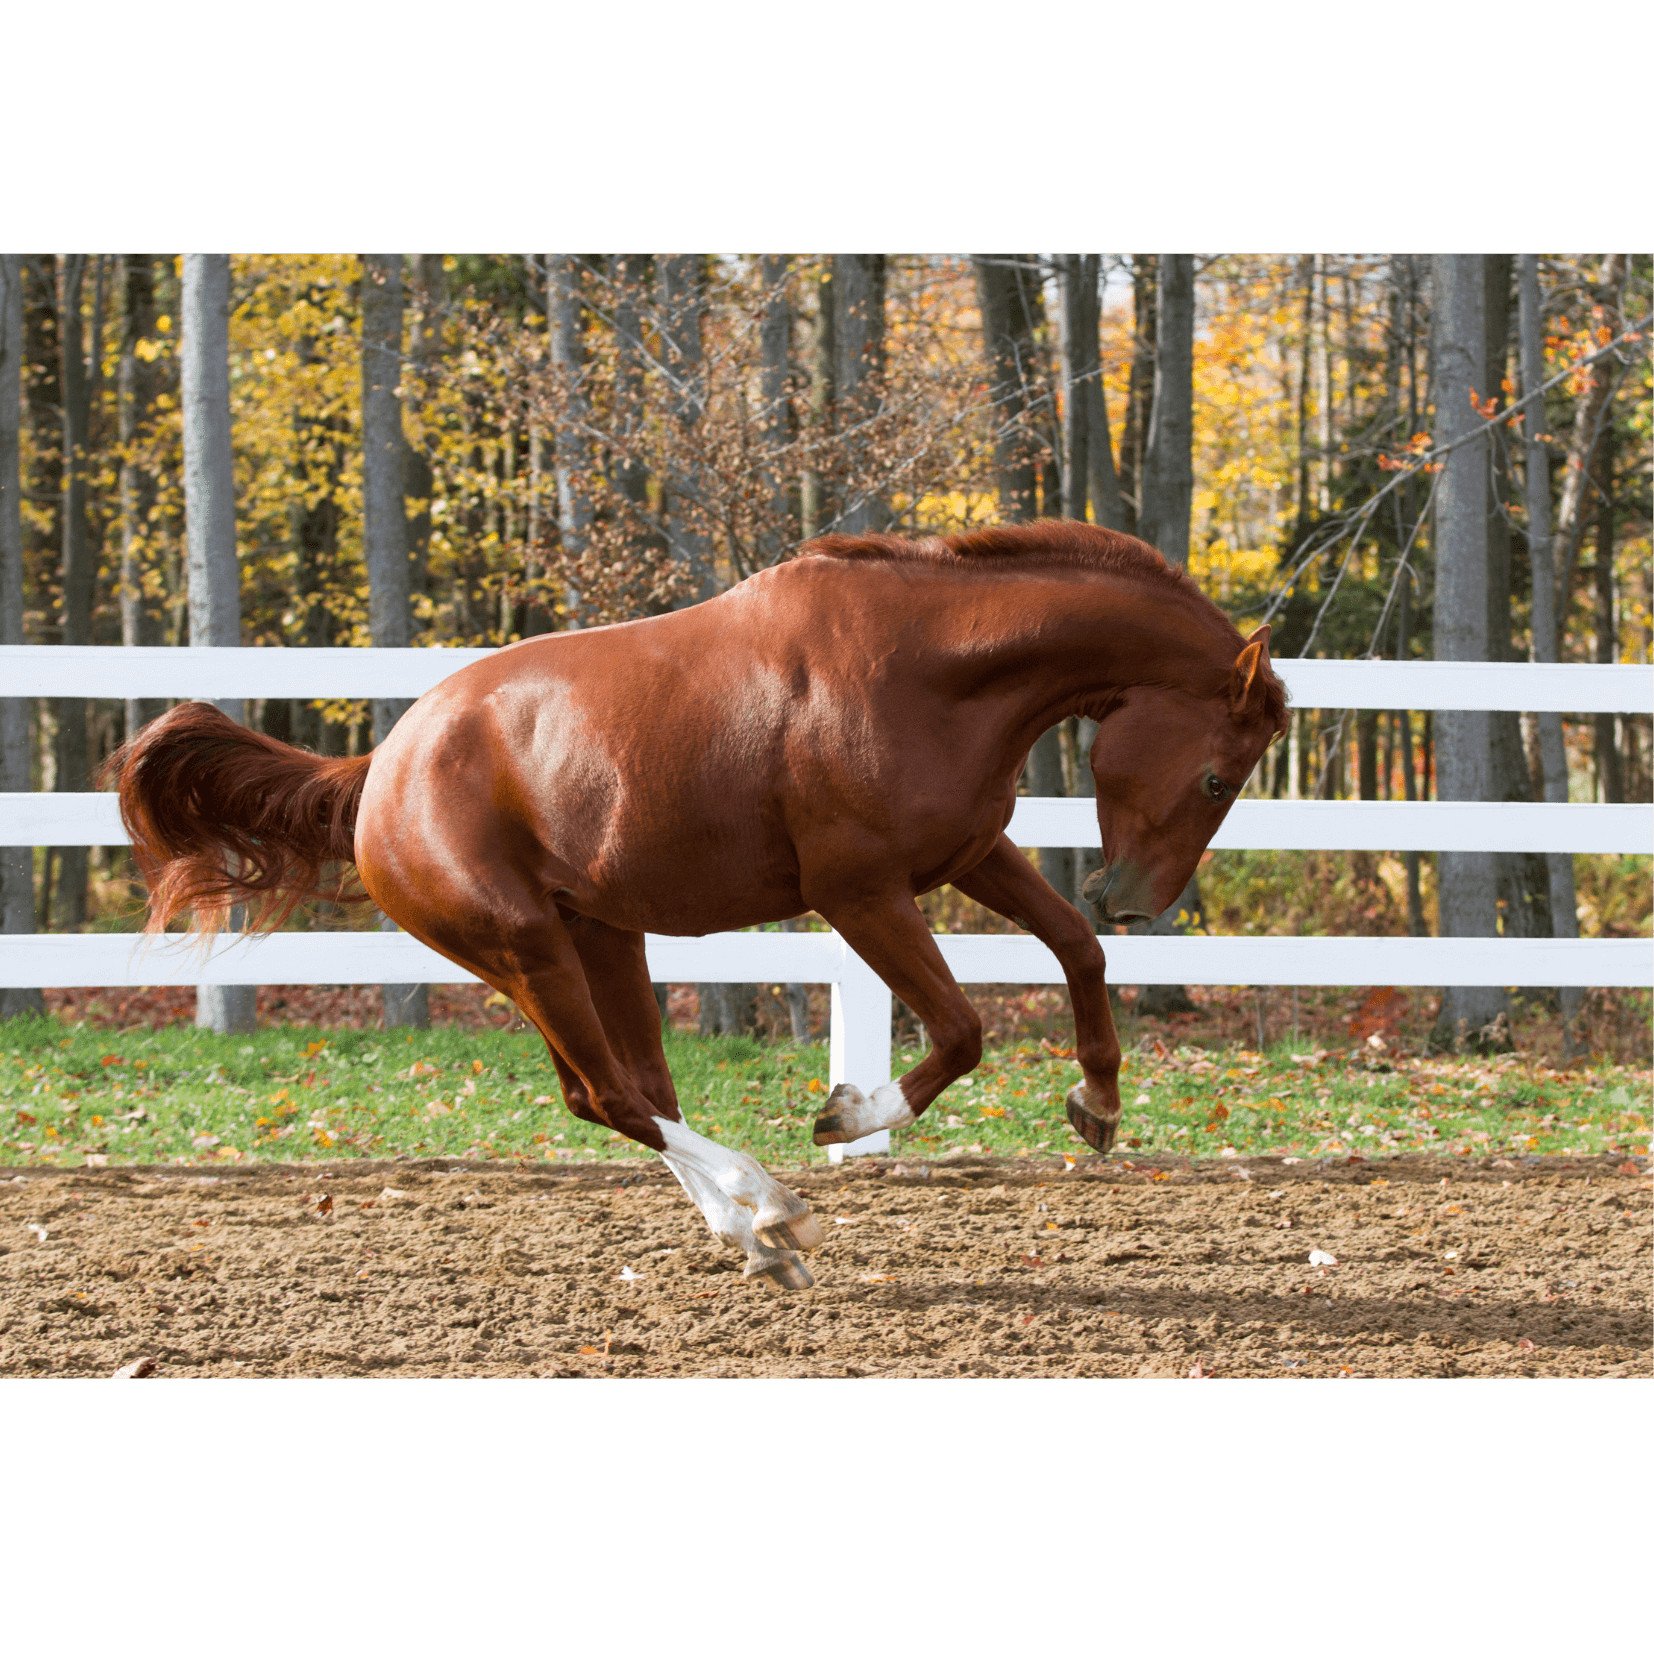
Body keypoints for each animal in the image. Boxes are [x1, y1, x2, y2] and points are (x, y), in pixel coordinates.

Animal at [112, 521, 1288, 1290]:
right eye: (1218, 778)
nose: (1135, 897)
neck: (932, 669)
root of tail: (378, 771)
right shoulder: (860, 893)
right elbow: (961, 1030)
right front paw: (847, 1114)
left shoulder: (970, 852)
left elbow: (1075, 949)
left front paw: (1097, 1104)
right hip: (523, 951)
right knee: (608, 1097)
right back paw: (771, 1206)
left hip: (602, 937)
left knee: (629, 1091)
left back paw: (752, 1231)